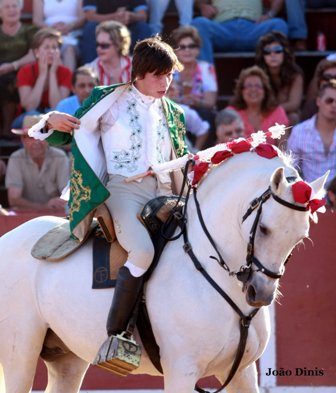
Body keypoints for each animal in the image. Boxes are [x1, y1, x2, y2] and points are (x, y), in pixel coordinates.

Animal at [0, 149, 326, 392]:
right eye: (266, 229)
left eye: (301, 238)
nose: (261, 293)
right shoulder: (182, 371)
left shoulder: (242, 373)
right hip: (20, 354)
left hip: (67, 358)